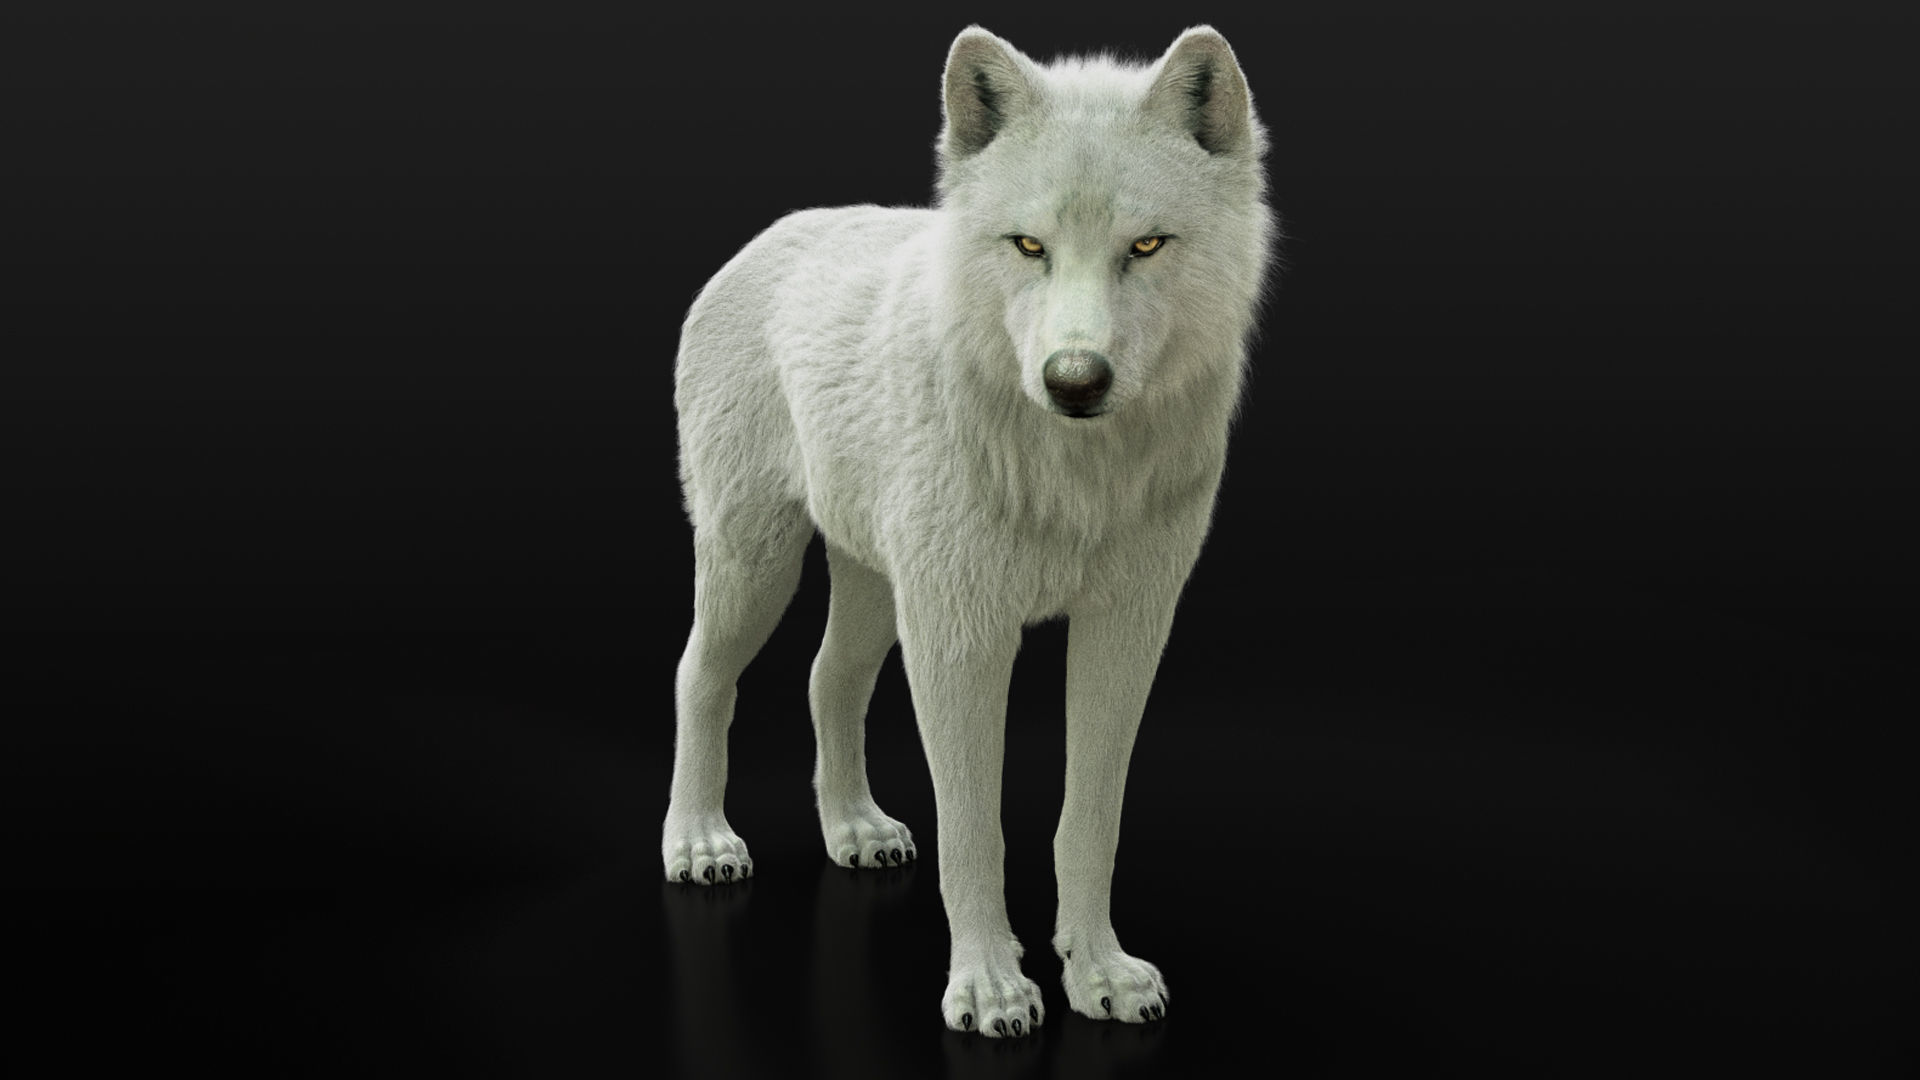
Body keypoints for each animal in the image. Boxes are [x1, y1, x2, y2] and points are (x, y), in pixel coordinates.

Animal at [662, 25, 1274, 1037]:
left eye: (1146, 245)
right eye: (1028, 246)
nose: (1075, 380)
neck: (1074, 476)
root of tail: (770, 234)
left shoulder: (1126, 627)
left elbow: (1089, 818)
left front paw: (1098, 971)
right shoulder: (962, 635)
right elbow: (973, 825)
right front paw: (989, 986)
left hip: (874, 585)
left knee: (827, 677)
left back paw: (854, 829)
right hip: (757, 564)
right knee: (700, 676)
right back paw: (701, 842)